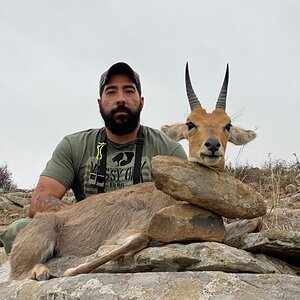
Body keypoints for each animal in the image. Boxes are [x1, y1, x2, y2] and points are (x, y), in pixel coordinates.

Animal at [8, 63, 256, 282]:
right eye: (190, 123)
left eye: (227, 124)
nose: (212, 145)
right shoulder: (129, 232)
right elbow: (139, 240)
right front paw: (73, 270)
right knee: (17, 274)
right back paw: (42, 271)